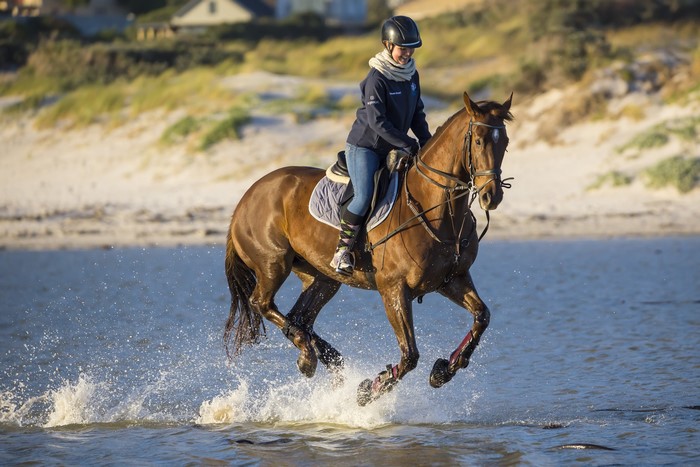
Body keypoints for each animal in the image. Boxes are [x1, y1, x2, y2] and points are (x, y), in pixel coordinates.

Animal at [224, 92, 514, 406]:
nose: (491, 196)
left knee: (300, 317)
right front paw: (369, 389)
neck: (436, 209)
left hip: (322, 277)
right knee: (262, 303)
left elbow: (482, 317)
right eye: (479, 141)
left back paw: (323, 359)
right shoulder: (394, 290)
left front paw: (443, 370)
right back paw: (309, 357)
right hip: (273, 264)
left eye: (505, 142)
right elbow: (410, 355)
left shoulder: (452, 280)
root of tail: (246, 197)